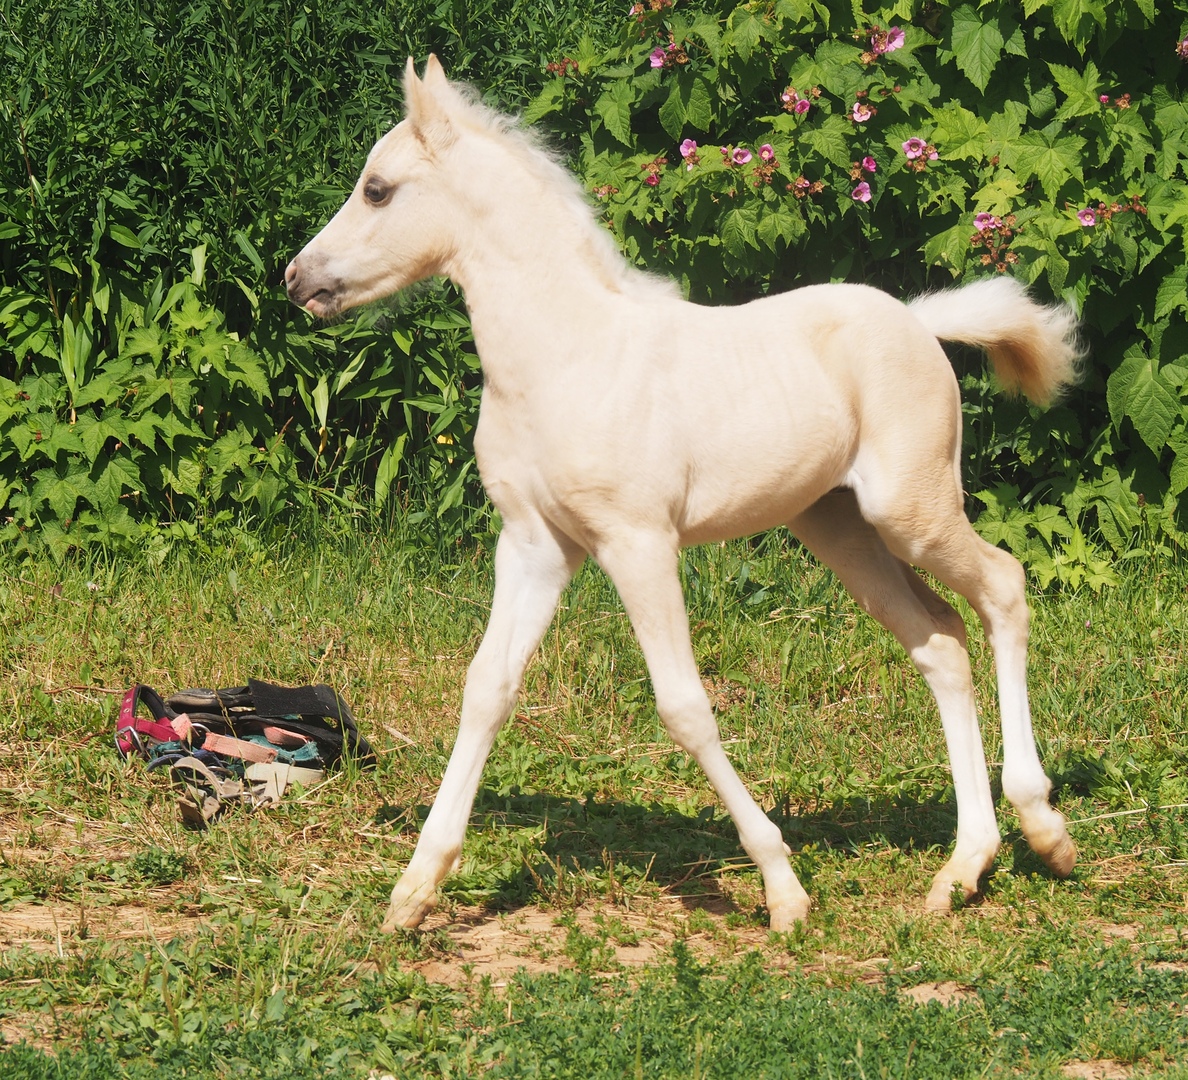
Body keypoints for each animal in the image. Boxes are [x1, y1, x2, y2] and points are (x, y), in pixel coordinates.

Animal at [287, 57, 1078, 926]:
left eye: (378, 190)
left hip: (910, 511)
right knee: (940, 641)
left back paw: (1044, 829)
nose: (296, 279)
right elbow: (486, 688)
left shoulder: (638, 543)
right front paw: (416, 888)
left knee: (1003, 587)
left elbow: (684, 705)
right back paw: (963, 867)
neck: (564, 354)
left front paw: (782, 886)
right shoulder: (535, 546)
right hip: (839, 528)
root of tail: (917, 321)